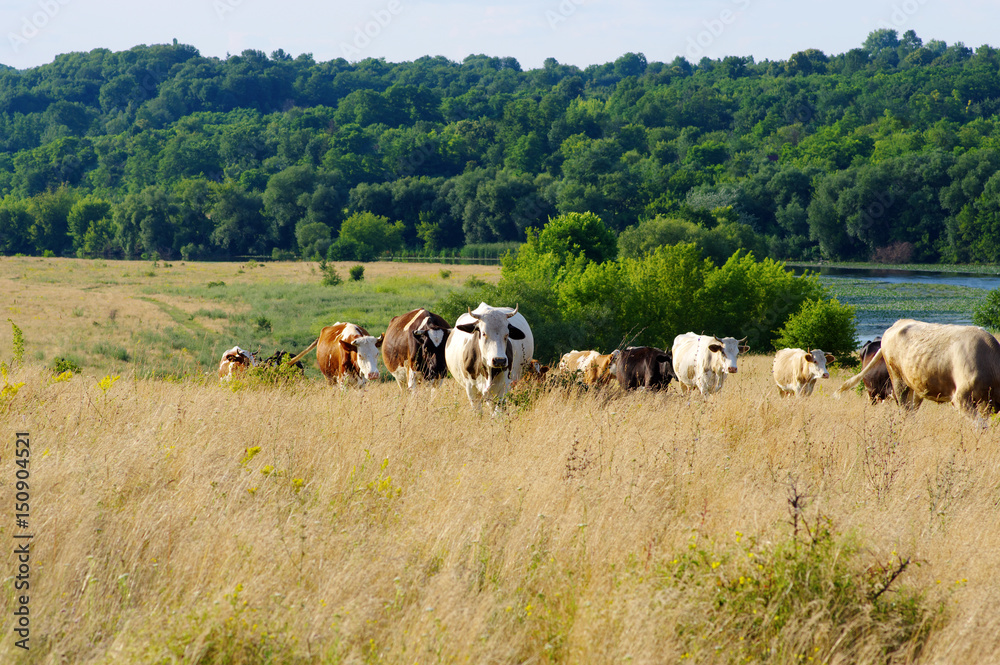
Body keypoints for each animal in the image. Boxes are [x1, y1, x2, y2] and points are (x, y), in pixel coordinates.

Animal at [836, 320, 1000, 416]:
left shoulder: (988, 405)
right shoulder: (962, 399)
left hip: (915, 388)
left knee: (912, 411)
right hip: (894, 385)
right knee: (905, 411)